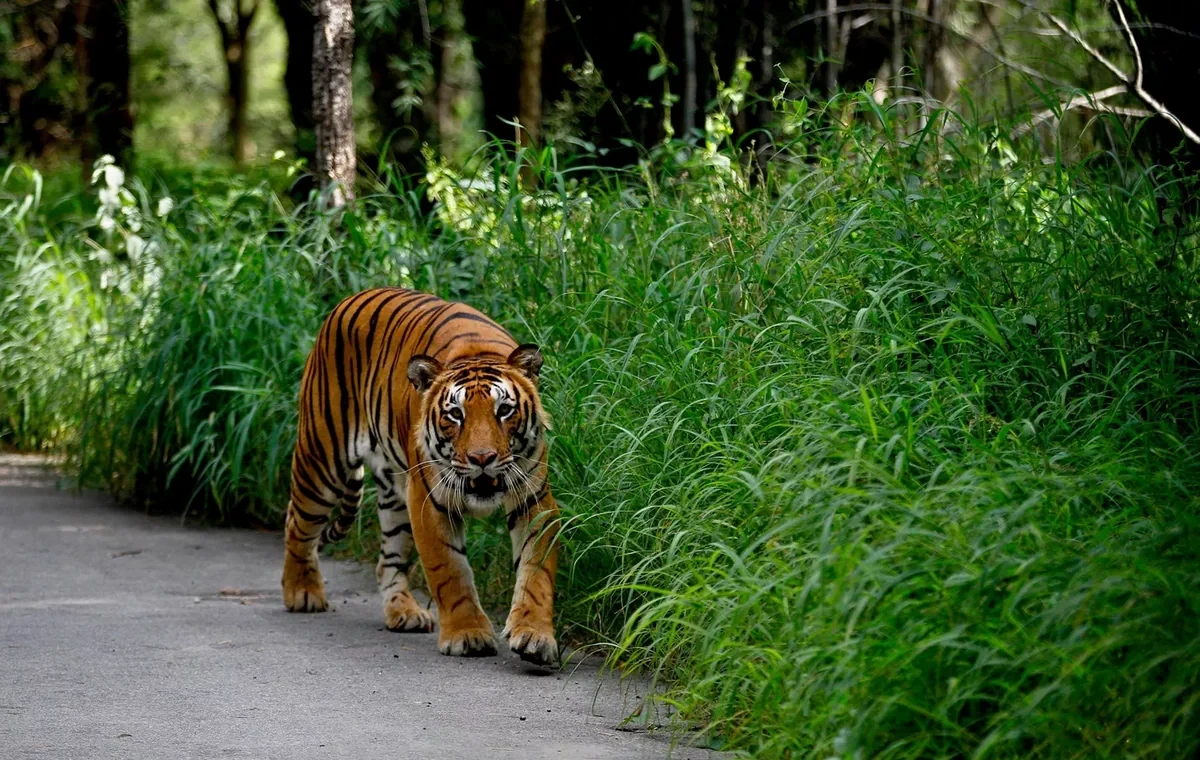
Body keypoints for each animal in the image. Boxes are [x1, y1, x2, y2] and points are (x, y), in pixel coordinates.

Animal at [280, 287, 560, 666]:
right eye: (455, 414)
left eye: (504, 410)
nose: (482, 458)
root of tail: (348, 299)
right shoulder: (430, 501)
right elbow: (450, 571)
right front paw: (467, 634)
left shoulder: (534, 500)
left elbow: (536, 575)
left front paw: (534, 637)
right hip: (322, 460)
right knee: (296, 522)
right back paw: (302, 592)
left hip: (395, 495)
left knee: (388, 561)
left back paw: (404, 612)